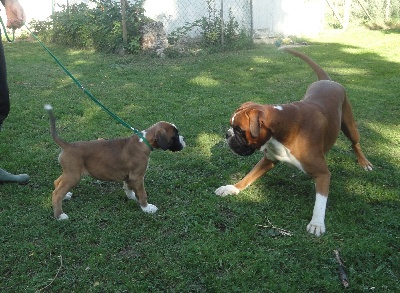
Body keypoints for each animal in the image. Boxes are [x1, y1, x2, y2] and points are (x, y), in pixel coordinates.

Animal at [45, 104, 186, 220]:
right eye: (175, 136)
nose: (184, 139)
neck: (144, 141)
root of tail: (68, 146)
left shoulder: (130, 176)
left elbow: (128, 187)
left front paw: (132, 196)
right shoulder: (137, 176)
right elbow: (142, 193)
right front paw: (146, 208)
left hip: (69, 173)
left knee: (57, 182)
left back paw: (66, 196)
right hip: (74, 176)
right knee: (56, 193)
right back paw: (60, 215)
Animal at [214, 47, 374, 235]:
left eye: (239, 130)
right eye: (232, 127)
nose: (228, 134)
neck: (284, 128)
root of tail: (327, 80)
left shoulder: (323, 174)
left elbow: (320, 201)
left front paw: (317, 223)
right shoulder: (268, 160)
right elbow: (248, 177)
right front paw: (232, 188)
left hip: (349, 126)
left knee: (355, 143)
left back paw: (364, 163)